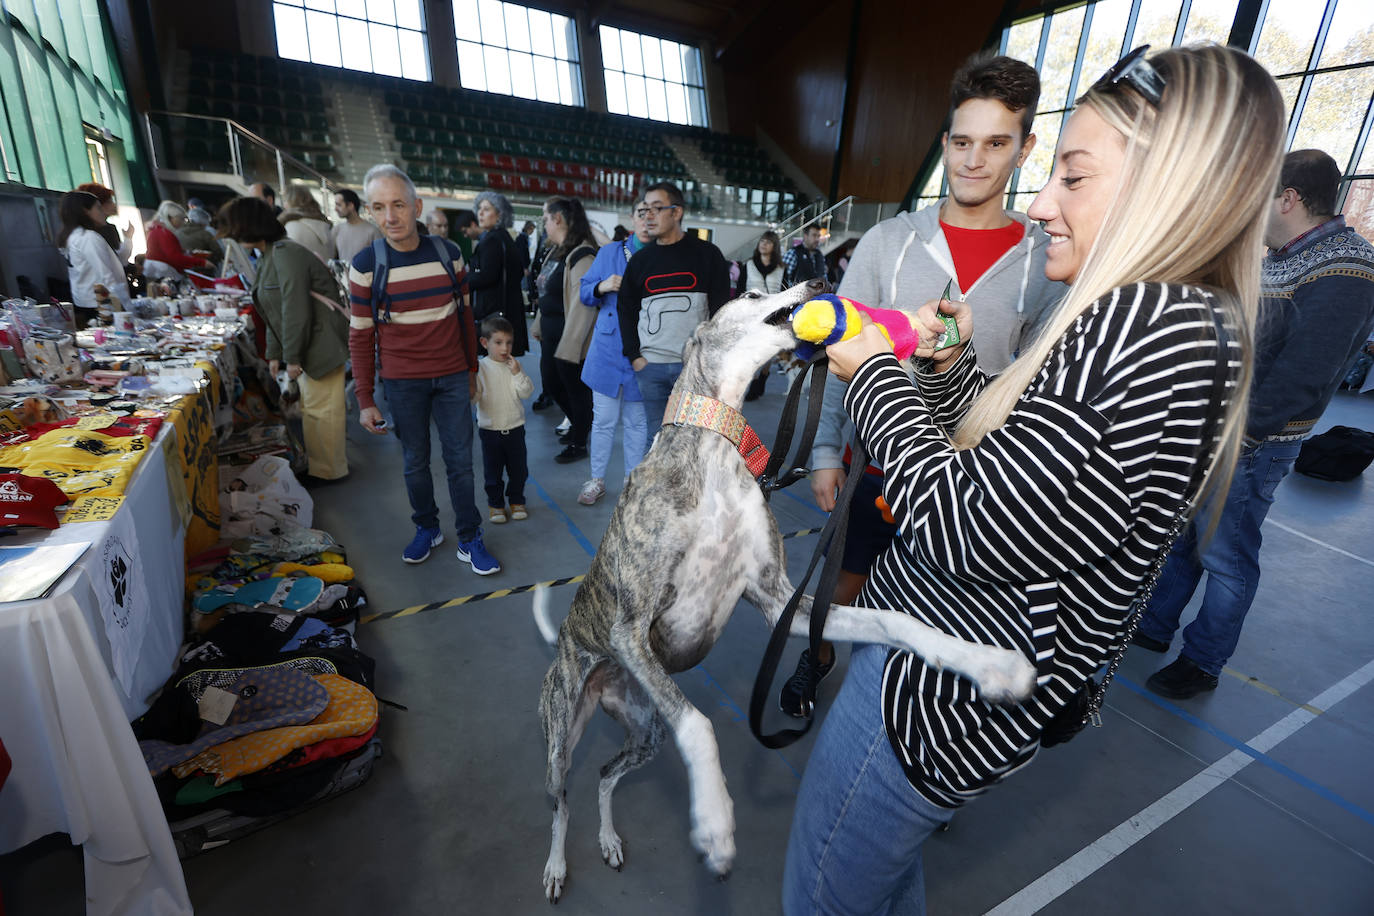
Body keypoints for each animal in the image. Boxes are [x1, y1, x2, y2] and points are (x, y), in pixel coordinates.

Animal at [533, 277, 1033, 900]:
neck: (715, 455)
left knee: (604, 777)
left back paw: (607, 839)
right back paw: (557, 865)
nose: (818, 281)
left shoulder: (781, 607)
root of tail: (572, 650)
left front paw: (990, 664)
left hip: (645, 727)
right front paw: (716, 822)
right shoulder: (631, 629)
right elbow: (699, 723)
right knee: (561, 802)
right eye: (750, 291)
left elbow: (897, 621)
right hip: (563, 735)